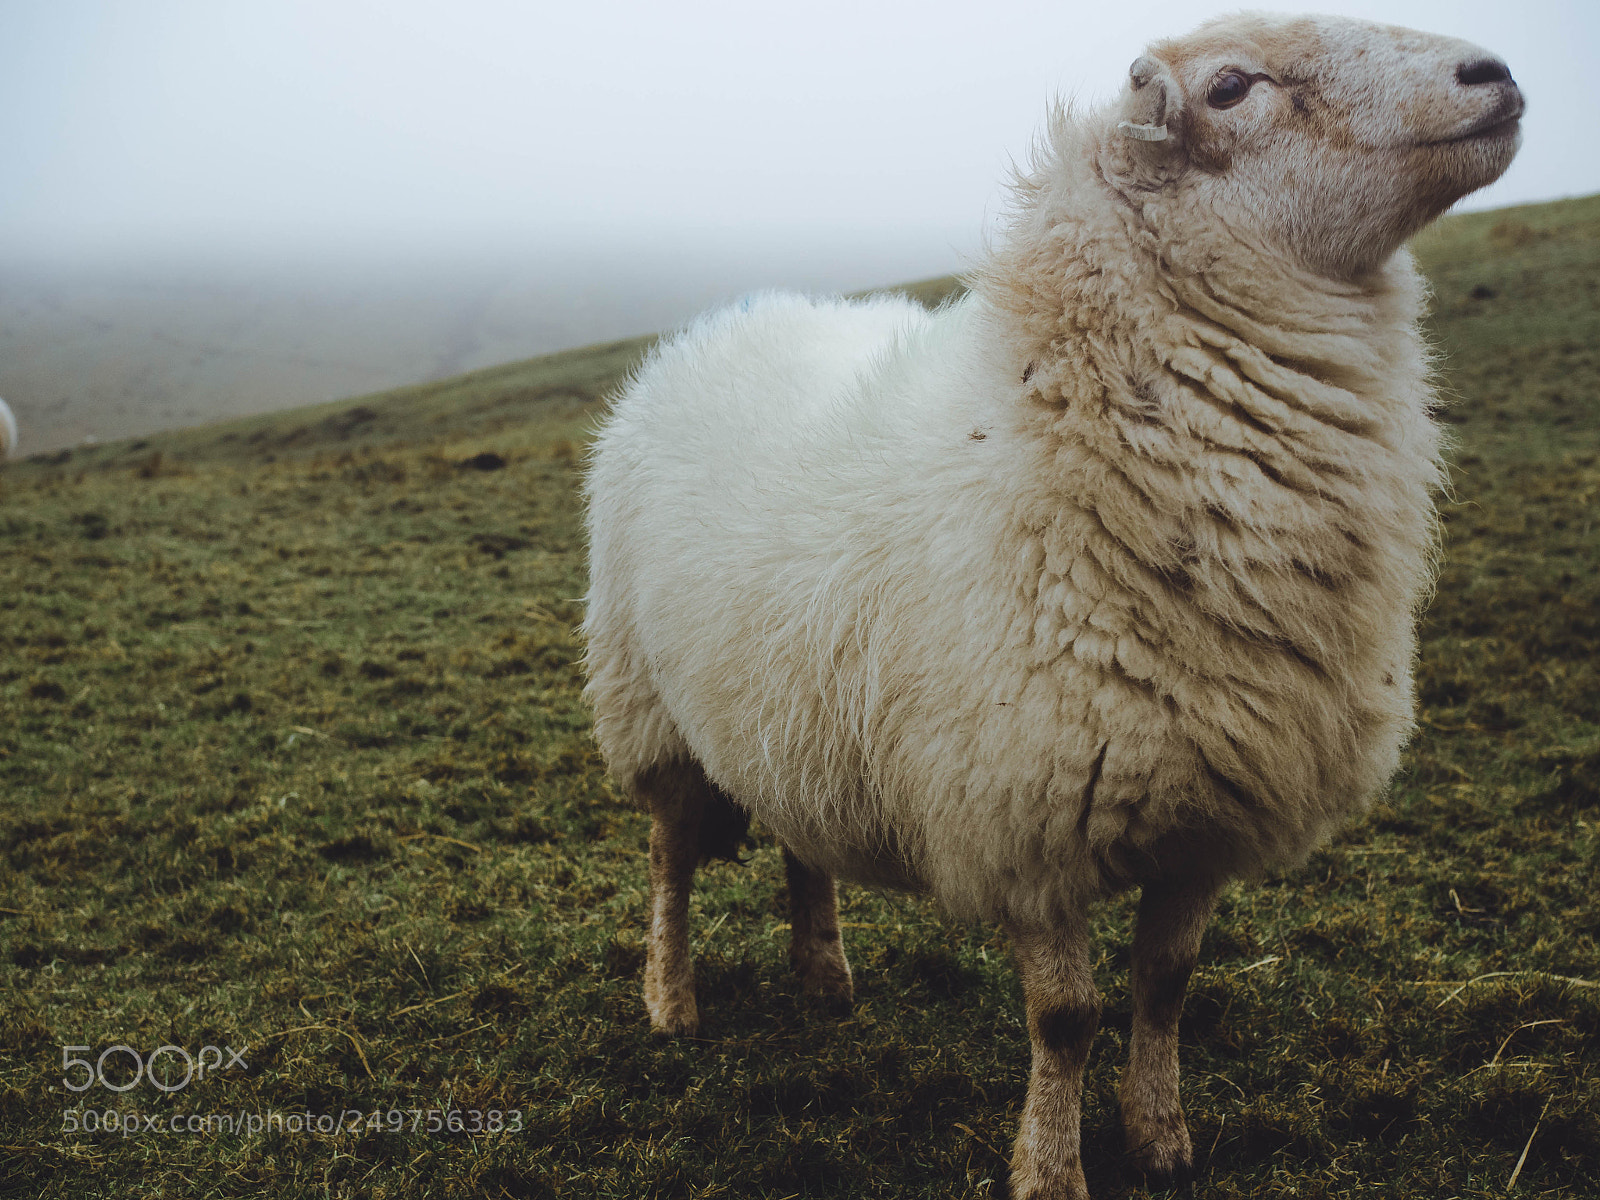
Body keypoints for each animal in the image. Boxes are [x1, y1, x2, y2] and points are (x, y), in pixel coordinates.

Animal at [581, 13, 1522, 1198]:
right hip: (647, 708)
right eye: (1230, 87)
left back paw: (825, 976)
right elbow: (1066, 1018)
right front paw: (1050, 1168)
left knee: (801, 840)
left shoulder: (1207, 805)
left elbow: (1168, 983)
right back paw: (671, 1002)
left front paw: (1161, 1140)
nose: (1495, 74)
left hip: (788, 706)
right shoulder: (1026, 817)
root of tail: (731, 318)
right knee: (668, 861)